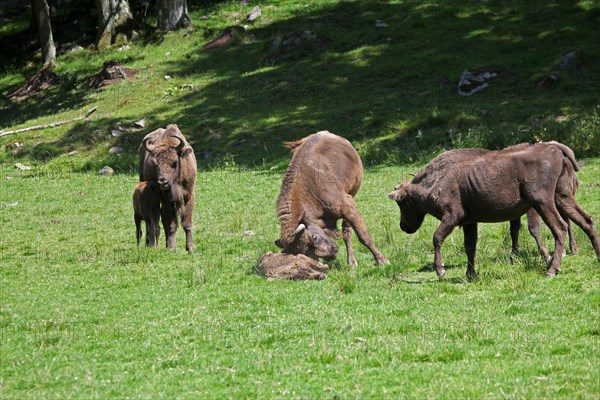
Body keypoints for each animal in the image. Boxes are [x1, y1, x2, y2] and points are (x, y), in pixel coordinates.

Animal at [138, 123, 197, 252]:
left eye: (174, 162)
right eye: (155, 164)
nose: (163, 182)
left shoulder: (189, 196)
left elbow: (187, 223)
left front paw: (190, 248)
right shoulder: (166, 200)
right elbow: (171, 223)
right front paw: (172, 247)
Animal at [276, 131, 390, 268]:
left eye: (314, 237)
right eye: (302, 252)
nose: (332, 254)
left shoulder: (348, 207)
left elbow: (363, 236)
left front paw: (382, 261)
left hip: (352, 193)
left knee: (347, 231)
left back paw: (352, 261)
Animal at [386, 142, 596, 280]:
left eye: (402, 203)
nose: (404, 226)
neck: (435, 182)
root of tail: (557, 149)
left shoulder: (453, 215)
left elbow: (437, 238)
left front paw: (440, 270)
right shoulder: (469, 221)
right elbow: (470, 247)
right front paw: (470, 275)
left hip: (542, 202)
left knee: (560, 227)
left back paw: (552, 269)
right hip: (562, 196)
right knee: (586, 220)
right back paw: (597, 255)